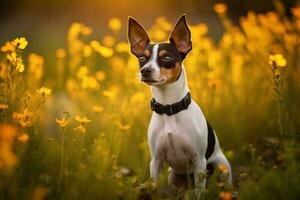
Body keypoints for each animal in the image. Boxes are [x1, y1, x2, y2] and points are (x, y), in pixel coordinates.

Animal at [126, 14, 232, 198]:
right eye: (142, 58)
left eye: (166, 57)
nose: (145, 71)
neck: (169, 107)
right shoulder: (156, 161)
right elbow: (156, 189)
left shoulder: (199, 161)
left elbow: (198, 194)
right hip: (172, 176)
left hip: (221, 167)